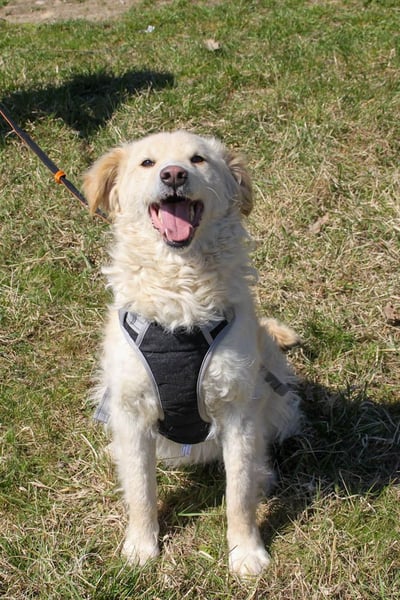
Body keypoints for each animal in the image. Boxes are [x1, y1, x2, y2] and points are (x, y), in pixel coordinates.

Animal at [83, 130, 300, 577]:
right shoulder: (131, 412)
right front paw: (141, 547)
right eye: (148, 163)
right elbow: (141, 491)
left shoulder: (238, 412)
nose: (174, 174)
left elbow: (239, 495)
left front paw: (246, 553)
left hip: (279, 405)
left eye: (198, 159)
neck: (179, 299)